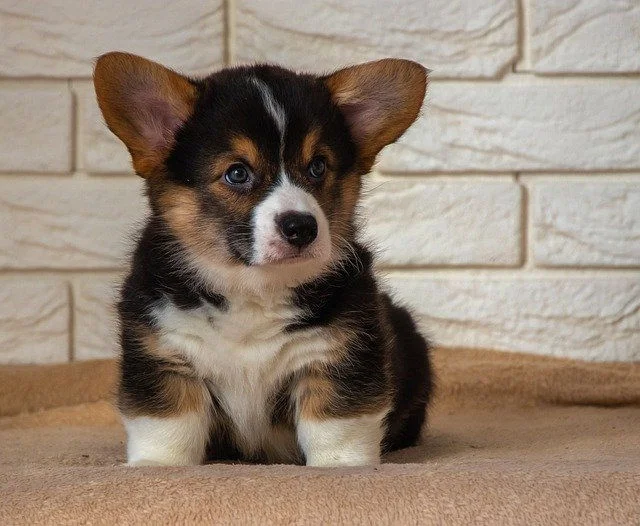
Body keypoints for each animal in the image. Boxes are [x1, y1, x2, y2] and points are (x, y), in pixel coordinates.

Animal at [94, 51, 436, 468]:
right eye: (238, 173)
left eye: (318, 166)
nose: (302, 227)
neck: (253, 286)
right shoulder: (163, 355)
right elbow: (168, 424)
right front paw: (157, 466)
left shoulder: (341, 355)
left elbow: (336, 426)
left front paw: (343, 467)